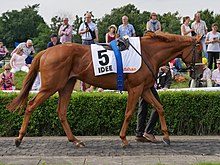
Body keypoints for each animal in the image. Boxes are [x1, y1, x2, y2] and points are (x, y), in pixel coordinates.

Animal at [6, 31, 203, 147]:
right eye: (200, 50)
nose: (200, 72)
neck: (148, 53)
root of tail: (45, 52)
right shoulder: (136, 88)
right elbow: (129, 113)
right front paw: (124, 139)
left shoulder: (145, 89)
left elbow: (159, 108)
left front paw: (166, 137)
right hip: (50, 86)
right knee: (31, 105)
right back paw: (19, 138)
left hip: (66, 86)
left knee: (61, 111)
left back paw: (75, 140)